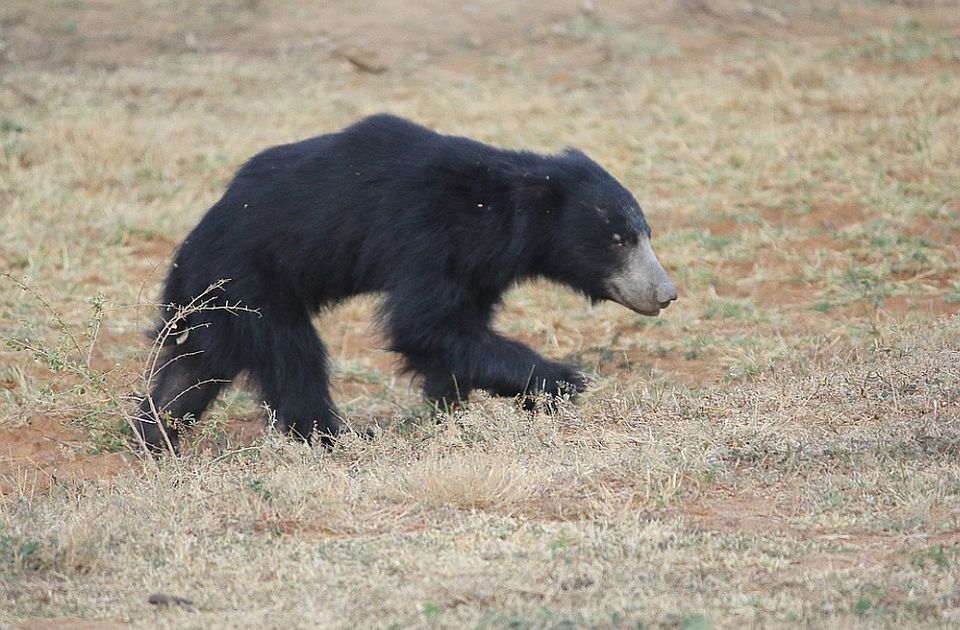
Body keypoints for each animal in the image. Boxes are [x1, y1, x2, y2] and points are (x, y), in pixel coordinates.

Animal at [135, 116, 680, 452]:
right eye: (619, 240)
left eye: (646, 234)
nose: (666, 294)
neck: (501, 210)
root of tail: (188, 253)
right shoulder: (428, 235)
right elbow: (424, 324)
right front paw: (563, 381)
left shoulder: (481, 265)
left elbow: (454, 334)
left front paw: (452, 412)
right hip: (254, 285)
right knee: (294, 361)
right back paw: (331, 438)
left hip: (216, 306)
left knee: (192, 371)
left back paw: (154, 435)